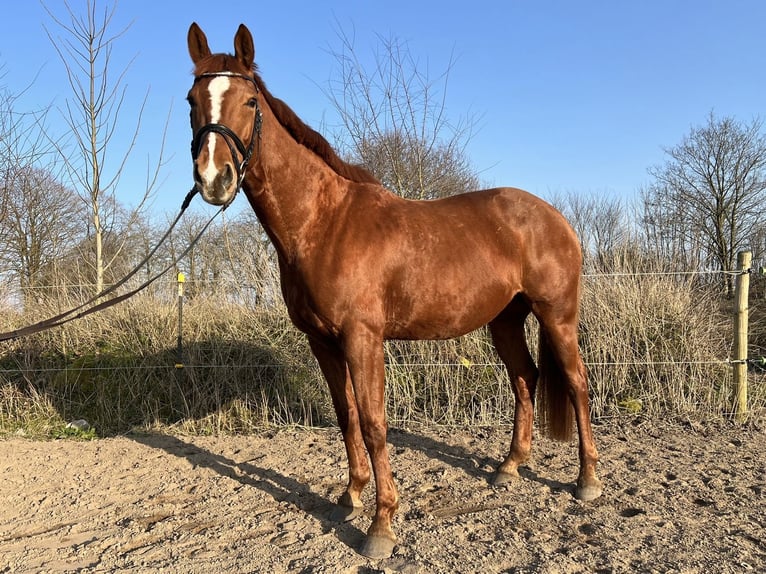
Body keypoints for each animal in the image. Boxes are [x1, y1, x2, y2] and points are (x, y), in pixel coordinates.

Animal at [186, 22, 602, 559]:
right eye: (192, 99)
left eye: (250, 100)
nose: (213, 179)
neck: (323, 224)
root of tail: (557, 218)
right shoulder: (322, 342)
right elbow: (345, 417)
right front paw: (350, 496)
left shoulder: (363, 339)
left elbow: (373, 422)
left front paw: (381, 526)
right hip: (505, 321)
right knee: (524, 379)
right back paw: (509, 468)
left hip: (557, 316)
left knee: (576, 383)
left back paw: (587, 481)